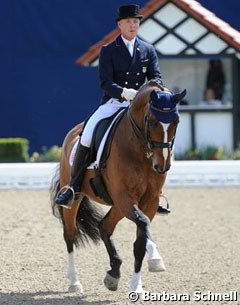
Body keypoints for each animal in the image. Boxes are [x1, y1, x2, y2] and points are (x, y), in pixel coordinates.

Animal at [50, 79, 186, 294]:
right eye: (153, 121)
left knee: (104, 226)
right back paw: (74, 281)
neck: (140, 149)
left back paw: (115, 271)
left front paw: (137, 284)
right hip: (76, 196)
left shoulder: (149, 200)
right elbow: (143, 225)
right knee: (70, 234)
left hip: (118, 205)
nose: (162, 166)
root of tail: (73, 132)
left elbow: (141, 237)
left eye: (176, 122)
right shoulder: (124, 197)